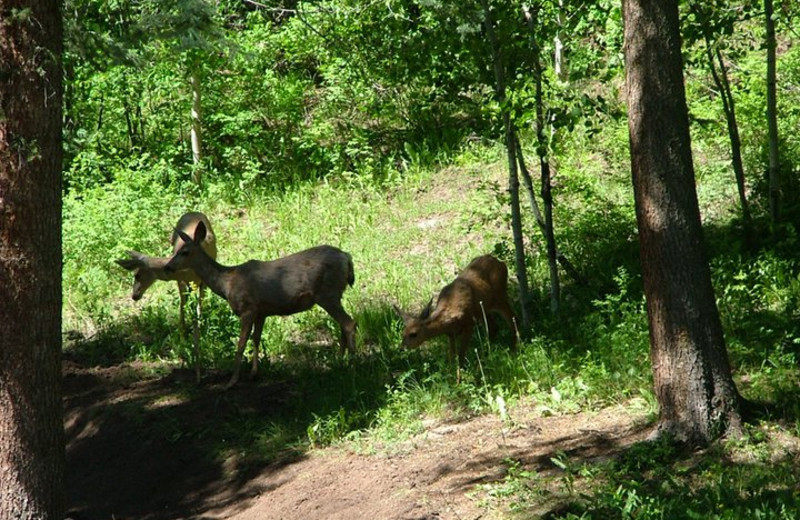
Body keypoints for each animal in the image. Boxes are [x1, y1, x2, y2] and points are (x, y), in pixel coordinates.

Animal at [114, 210, 217, 382]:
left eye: (137, 275)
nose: (134, 295)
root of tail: (192, 212)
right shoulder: (181, 281)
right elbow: (183, 308)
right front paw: (183, 342)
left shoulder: (202, 281)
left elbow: (198, 308)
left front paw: (201, 334)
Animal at [166, 220, 356, 390]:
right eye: (178, 250)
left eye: (184, 252)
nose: (168, 266)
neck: (227, 284)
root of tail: (347, 257)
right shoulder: (261, 312)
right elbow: (256, 339)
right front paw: (254, 373)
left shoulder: (247, 308)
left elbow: (241, 344)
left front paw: (231, 382)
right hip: (335, 294)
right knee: (343, 325)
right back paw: (339, 361)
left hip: (326, 294)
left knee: (349, 323)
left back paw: (354, 362)